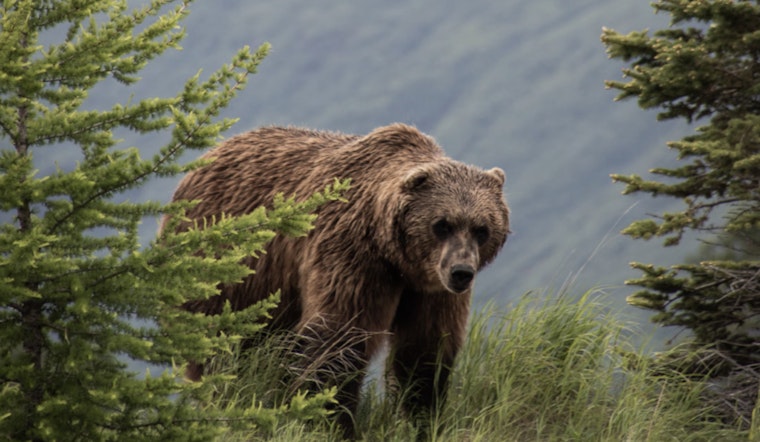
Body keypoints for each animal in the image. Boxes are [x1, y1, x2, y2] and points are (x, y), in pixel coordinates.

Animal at [163, 123, 510, 437]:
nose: (461, 272)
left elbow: (424, 350)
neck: (396, 257)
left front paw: (420, 419)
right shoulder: (353, 256)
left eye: (482, 228)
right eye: (442, 224)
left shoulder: (430, 289)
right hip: (225, 273)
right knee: (221, 350)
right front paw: (330, 421)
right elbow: (337, 338)